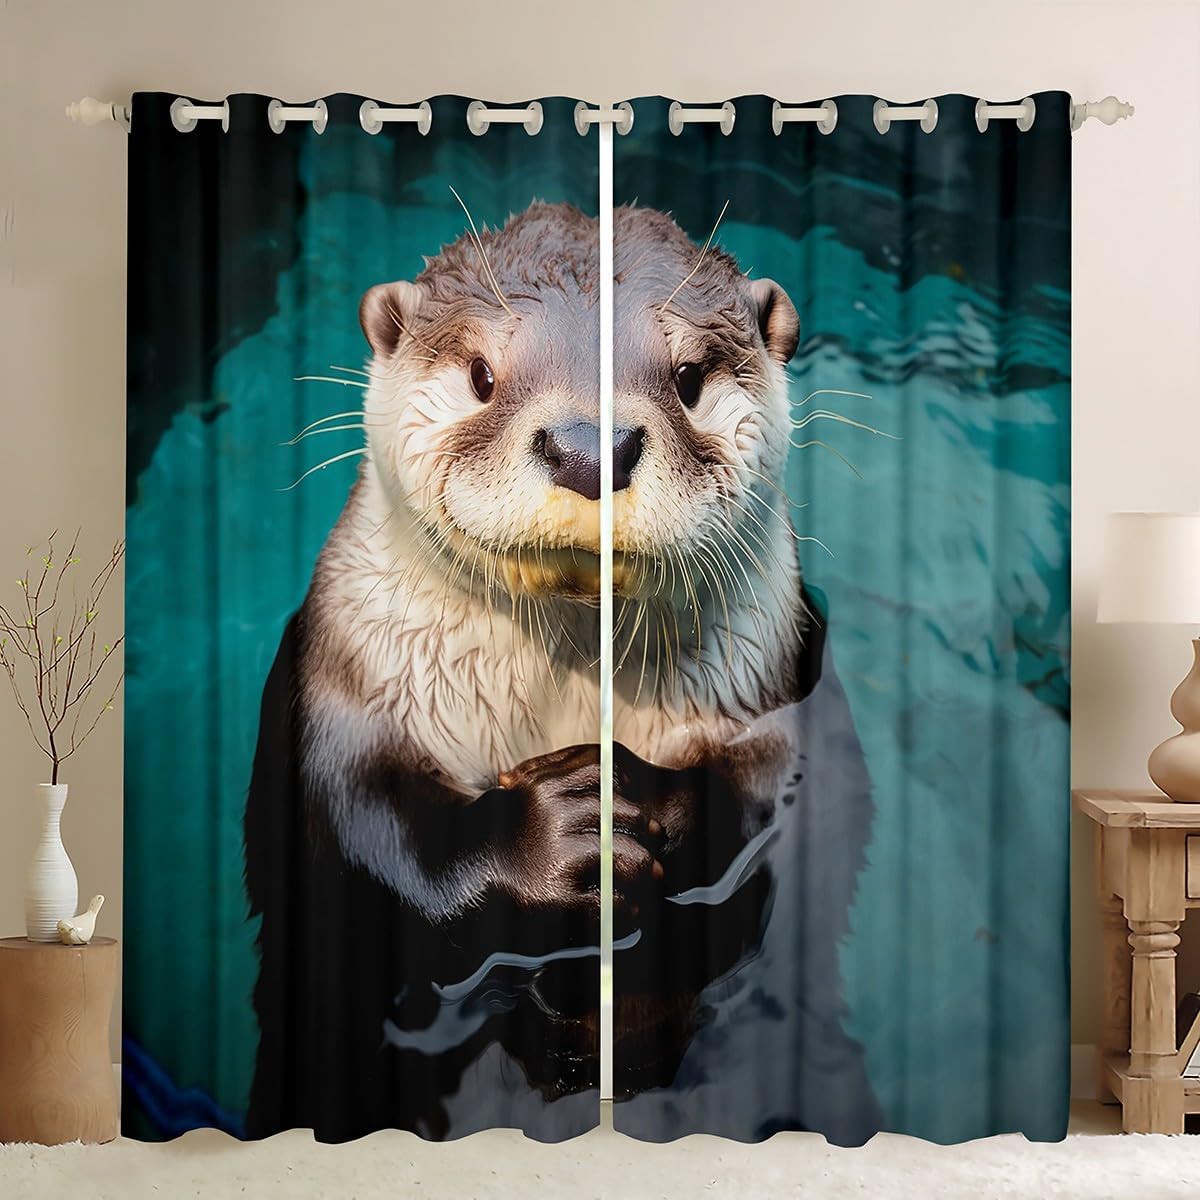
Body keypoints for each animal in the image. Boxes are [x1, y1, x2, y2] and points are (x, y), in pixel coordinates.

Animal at [244, 201, 878, 1143]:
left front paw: (642, 799)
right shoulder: (341, 695)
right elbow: (366, 836)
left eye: (688, 377)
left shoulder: (779, 687)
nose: (589, 448)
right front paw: (553, 842)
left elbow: (787, 799)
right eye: (480, 374)